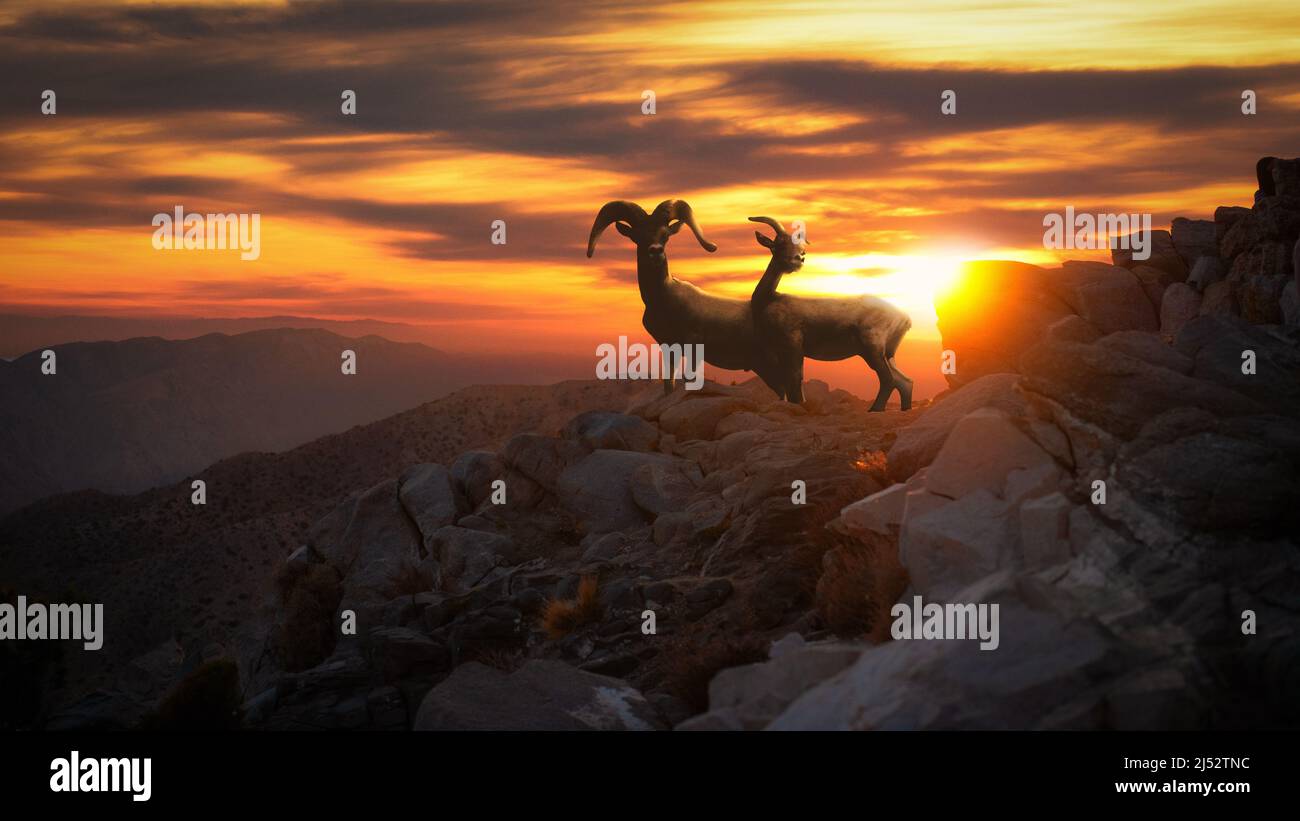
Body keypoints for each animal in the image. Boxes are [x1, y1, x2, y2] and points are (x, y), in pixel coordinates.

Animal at [586, 199, 785, 395]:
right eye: (637, 236)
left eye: (665, 236)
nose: (656, 251)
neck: (663, 301)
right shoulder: (668, 347)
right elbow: (669, 384)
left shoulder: (693, 345)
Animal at [748, 216, 914, 411]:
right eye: (778, 244)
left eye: (798, 245)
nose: (799, 258)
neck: (769, 299)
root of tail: (905, 319)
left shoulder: (794, 344)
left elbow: (796, 380)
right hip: (884, 353)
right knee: (904, 381)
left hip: (873, 348)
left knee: (889, 380)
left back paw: (874, 409)